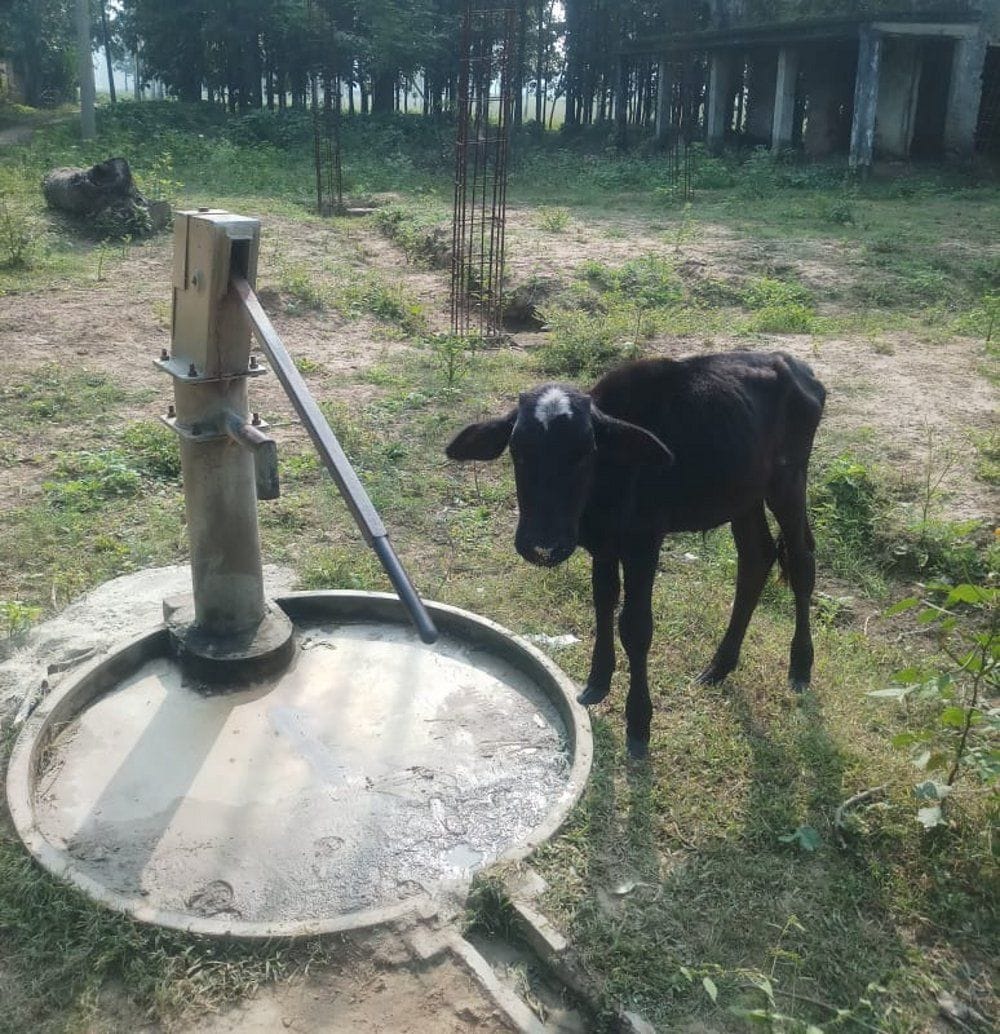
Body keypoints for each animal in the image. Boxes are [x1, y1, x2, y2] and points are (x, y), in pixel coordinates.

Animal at [445, 351, 826, 759]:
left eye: (585, 452)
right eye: (517, 451)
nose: (542, 545)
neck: (604, 489)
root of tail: (792, 363)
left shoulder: (644, 543)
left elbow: (636, 626)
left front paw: (639, 722)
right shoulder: (602, 545)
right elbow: (603, 602)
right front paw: (597, 681)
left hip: (788, 480)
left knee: (801, 561)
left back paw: (800, 666)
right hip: (743, 495)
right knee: (756, 559)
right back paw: (719, 666)